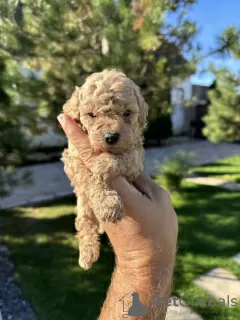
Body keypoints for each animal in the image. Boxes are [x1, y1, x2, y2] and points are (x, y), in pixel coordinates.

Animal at [61, 69, 148, 270]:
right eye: (92, 114)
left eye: (127, 113)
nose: (111, 137)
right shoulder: (72, 160)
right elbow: (89, 176)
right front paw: (108, 204)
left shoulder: (136, 156)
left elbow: (126, 157)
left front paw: (103, 164)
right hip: (84, 206)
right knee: (85, 223)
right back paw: (87, 254)